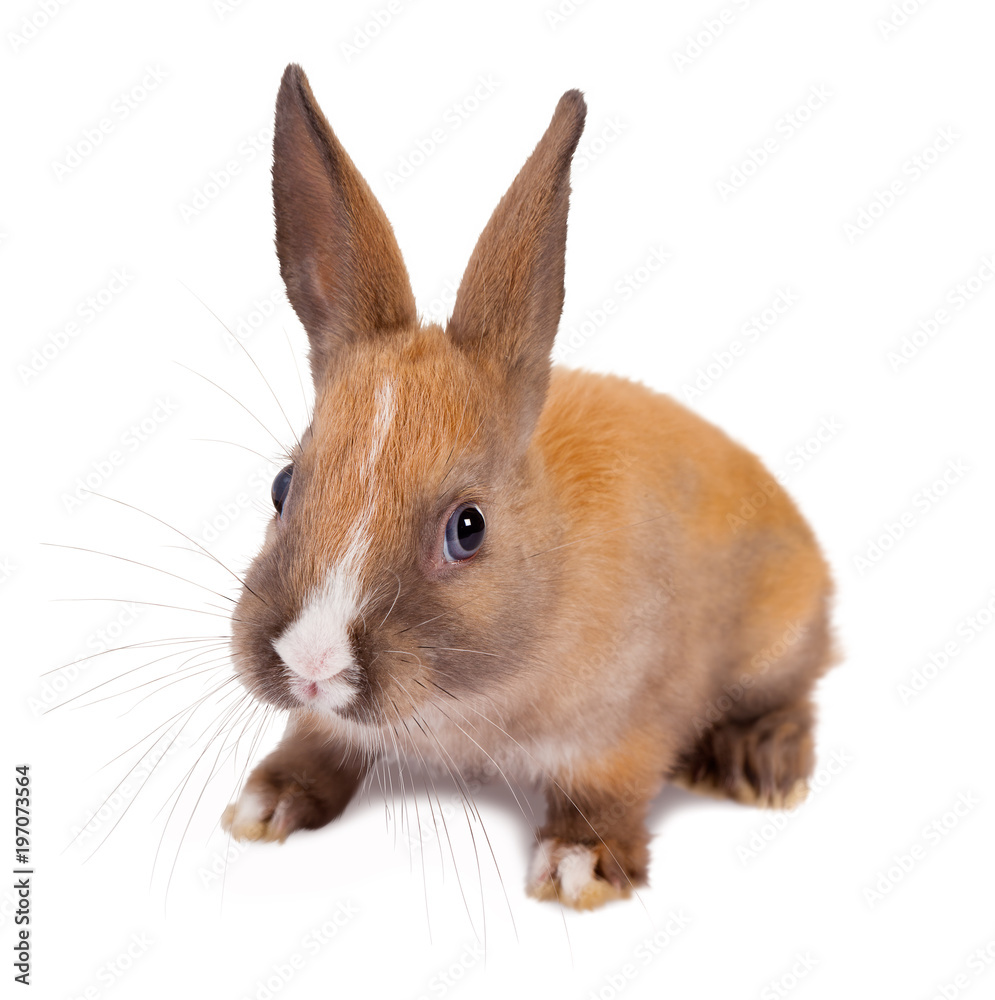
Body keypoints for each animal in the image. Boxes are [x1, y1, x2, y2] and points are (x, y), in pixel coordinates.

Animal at [221, 63, 836, 911]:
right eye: (284, 485)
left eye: (468, 527)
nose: (312, 665)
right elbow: (317, 743)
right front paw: (265, 803)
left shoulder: (626, 724)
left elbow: (606, 790)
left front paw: (579, 866)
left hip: (776, 643)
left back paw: (761, 766)